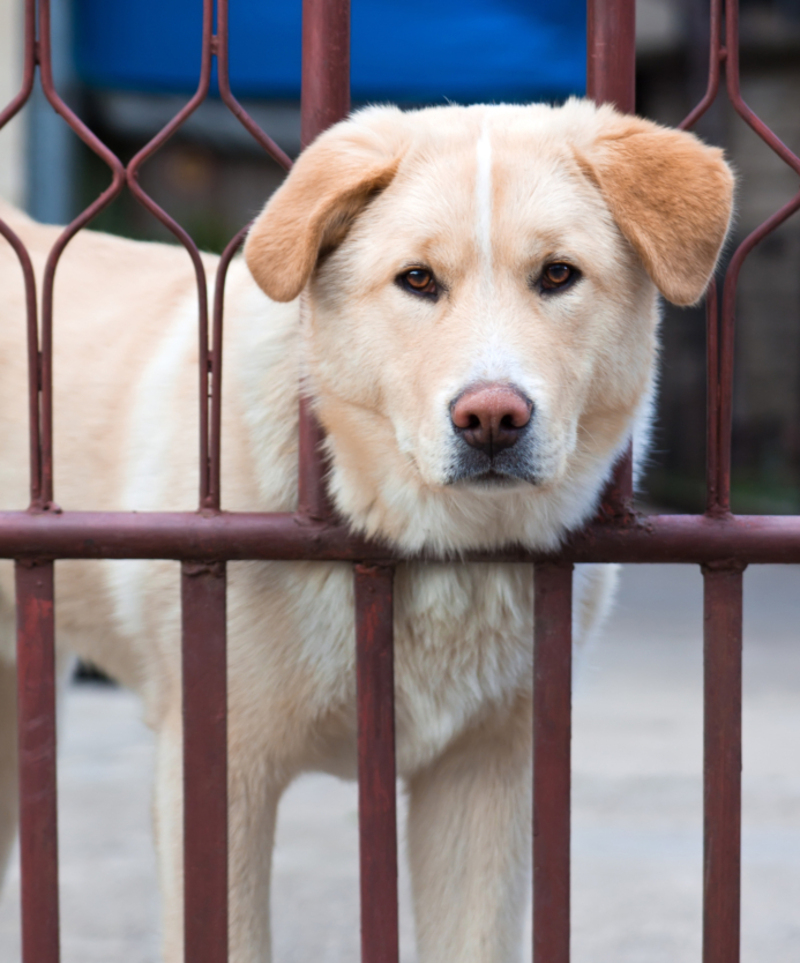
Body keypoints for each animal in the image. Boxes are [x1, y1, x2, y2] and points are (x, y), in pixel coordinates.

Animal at [0, 100, 736, 963]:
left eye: (558, 275)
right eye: (417, 280)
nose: (492, 418)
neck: (429, 545)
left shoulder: (484, 776)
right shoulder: (218, 773)